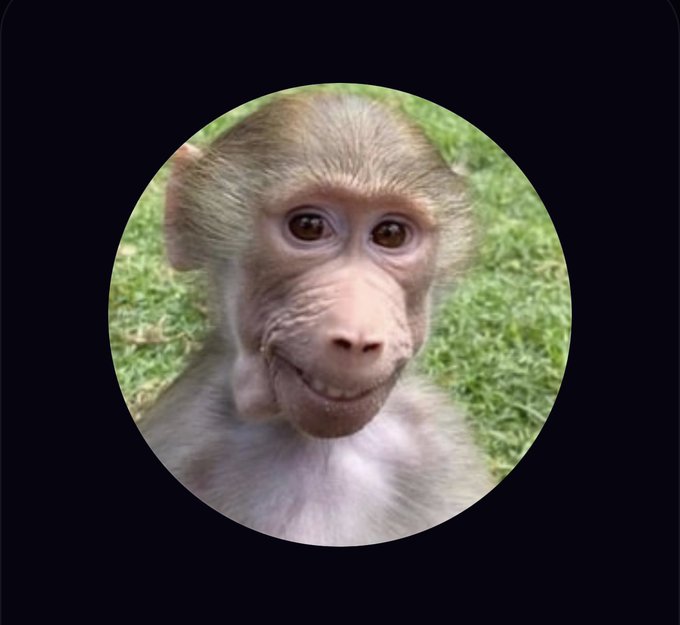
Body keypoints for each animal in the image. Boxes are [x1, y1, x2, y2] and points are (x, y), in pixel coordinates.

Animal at [137, 90, 494, 546]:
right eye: (308, 226)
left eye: (391, 234)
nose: (358, 337)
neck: (314, 444)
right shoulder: (185, 433)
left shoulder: (438, 446)